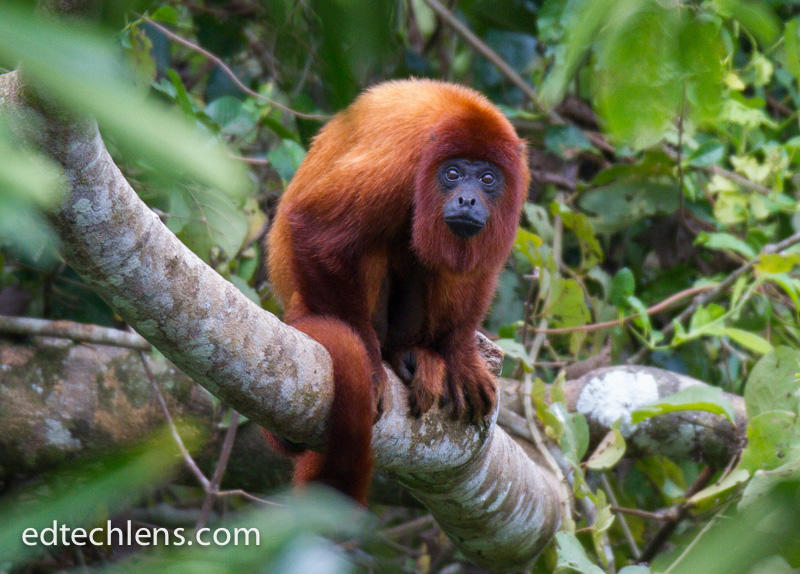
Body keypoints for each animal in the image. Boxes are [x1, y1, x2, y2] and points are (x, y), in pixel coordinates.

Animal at [268, 77, 532, 504]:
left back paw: (414, 353)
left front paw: (460, 355)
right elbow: (316, 229)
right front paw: (371, 362)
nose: (467, 199)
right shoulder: (399, 165)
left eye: (488, 179)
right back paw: (390, 353)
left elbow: (479, 271)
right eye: (453, 173)